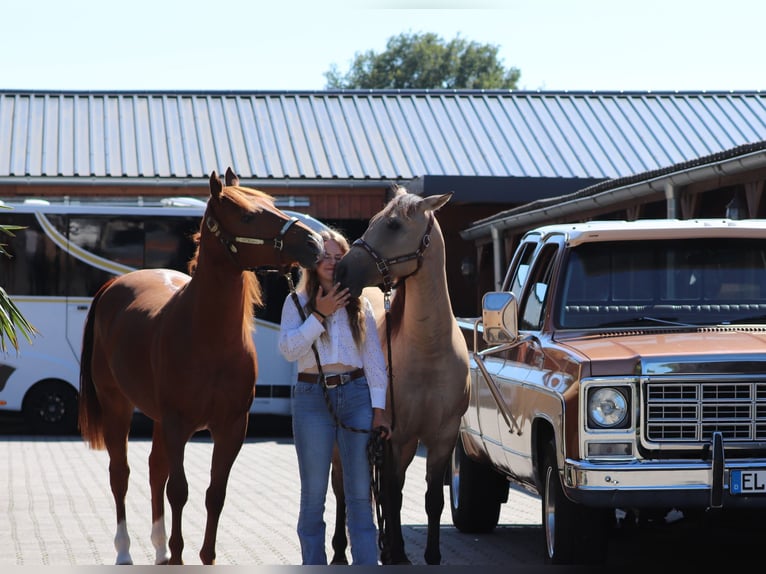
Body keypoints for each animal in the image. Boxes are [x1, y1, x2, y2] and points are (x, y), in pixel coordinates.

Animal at [78, 167, 323, 565]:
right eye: (247, 216)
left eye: (272, 204)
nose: (314, 243)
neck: (210, 340)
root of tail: (115, 283)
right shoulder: (179, 423)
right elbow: (179, 490)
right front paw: (179, 557)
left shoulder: (231, 427)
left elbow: (214, 493)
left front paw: (203, 557)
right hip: (118, 407)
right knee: (121, 474)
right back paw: (125, 551)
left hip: (157, 419)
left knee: (154, 470)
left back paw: (160, 550)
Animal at [333, 186, 471, 565]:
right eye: (372, 220)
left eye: (393, 224)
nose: (341, 271)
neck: (428, 351)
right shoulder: (396, 434)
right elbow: (392, 496)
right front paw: (395, 554)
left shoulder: (441, 437)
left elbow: (432, 499)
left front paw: (430, 556)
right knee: (341, 489)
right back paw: (339, 552)